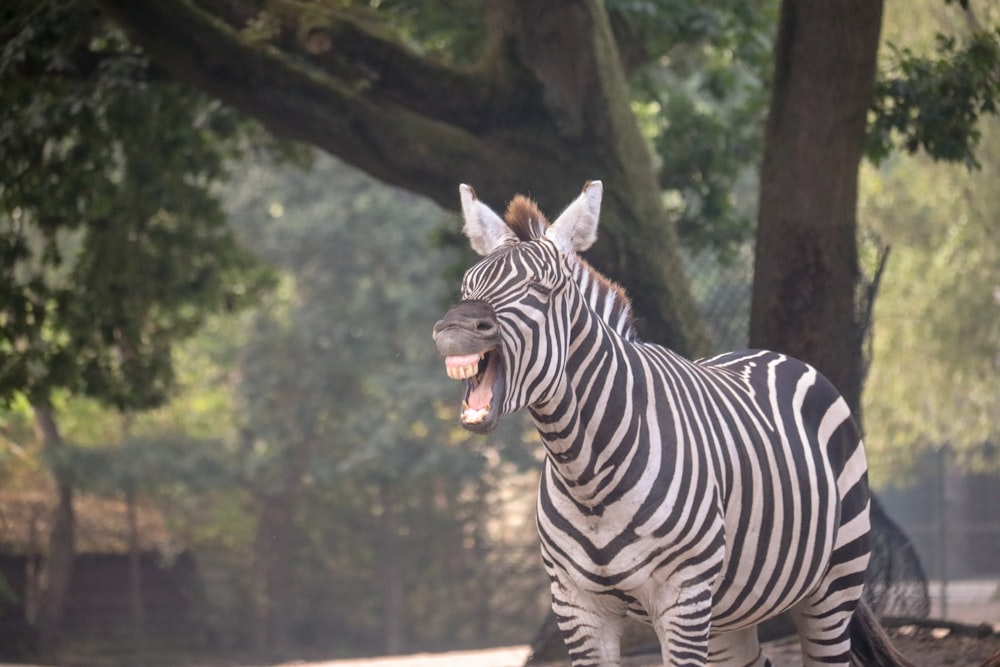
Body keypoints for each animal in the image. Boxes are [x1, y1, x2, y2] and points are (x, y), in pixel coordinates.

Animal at [430, 180, 916, 664]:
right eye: (468, 285)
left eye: (538, 288)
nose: (453, 328)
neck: (586, 475)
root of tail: (771, 353)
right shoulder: (575, 604)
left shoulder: (682, 596)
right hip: (729, 612)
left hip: (833, 585)